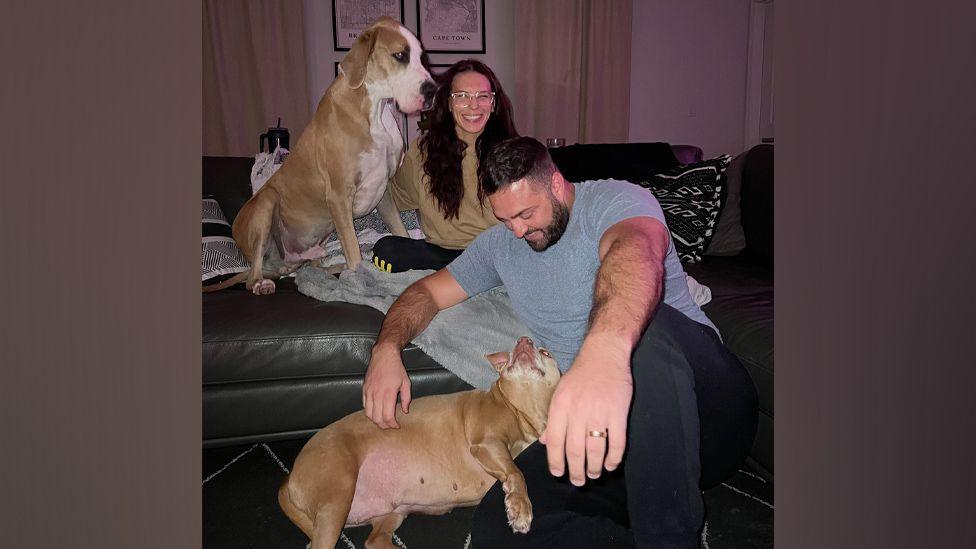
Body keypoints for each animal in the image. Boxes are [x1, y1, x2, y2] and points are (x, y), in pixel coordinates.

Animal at [203, 17, 434, 294]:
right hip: (266, 202)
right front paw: (362, 278)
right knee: (251, 277)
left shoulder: (385, 192)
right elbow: (354, 252)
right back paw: (261, 283)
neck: (374, 108)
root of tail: (279, 267)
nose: (433, 90)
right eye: (400, 55)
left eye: (422, 56)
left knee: (313, 267)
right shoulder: (338, 196)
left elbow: (400, 231)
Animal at [278, 336, 560, 544]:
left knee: (374, 541)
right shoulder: (487, 443)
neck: (520, 410)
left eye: (546, 352)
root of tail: (290, 477)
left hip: (390, 515)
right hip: (336, 498)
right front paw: (520, 508)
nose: (523, 340)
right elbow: (516, 471)